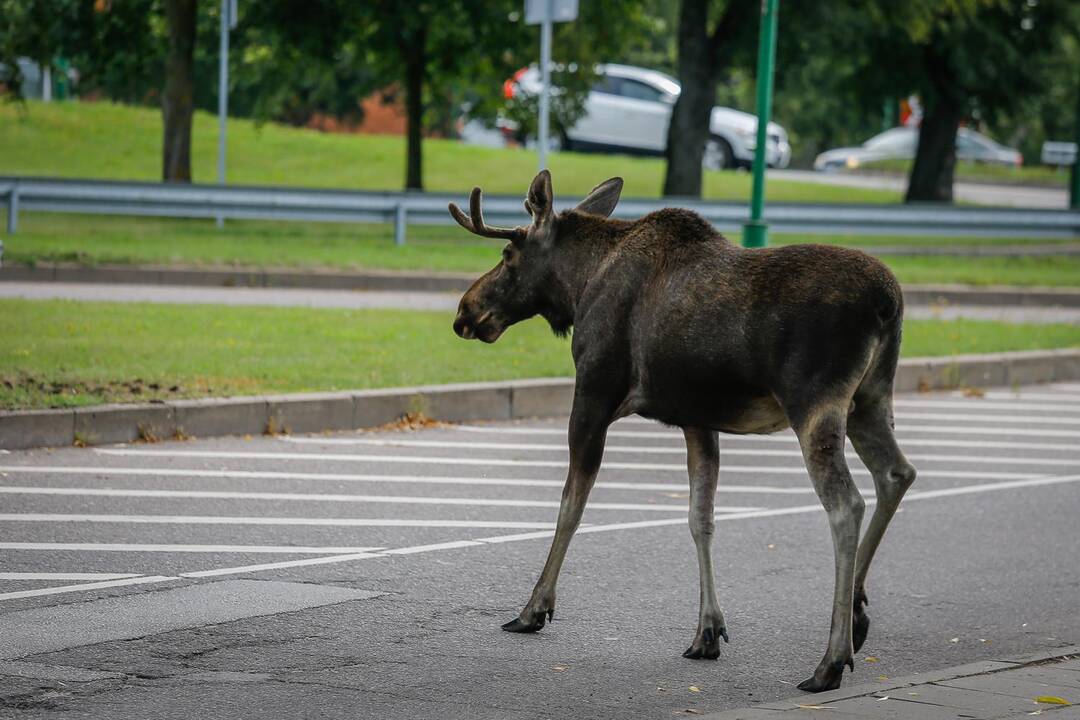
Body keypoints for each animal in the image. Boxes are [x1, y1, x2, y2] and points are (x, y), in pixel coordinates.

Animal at [449, 170, 920, 690]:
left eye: (507, 255)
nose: (465, 312)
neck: (580, 285)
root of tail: (889, 302)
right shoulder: (697, 419)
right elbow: (701, 518)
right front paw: (707, 631)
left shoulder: (593, 391)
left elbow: (571, 505)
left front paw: (534, 608)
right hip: (870, 399)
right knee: (897, 473)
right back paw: (856, 612)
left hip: (816, 404)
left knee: (846, 503)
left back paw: (830, 660)